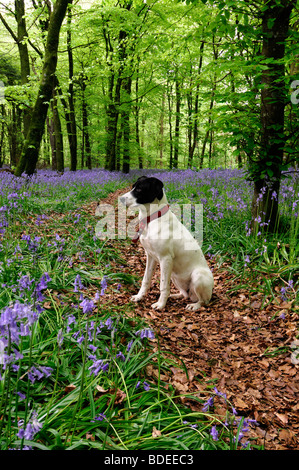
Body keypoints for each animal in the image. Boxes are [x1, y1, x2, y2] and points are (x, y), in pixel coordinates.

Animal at [120, 176, 214, 312]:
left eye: (139, 189)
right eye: (133, 186)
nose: (121, 199)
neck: (152, 219)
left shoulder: (165, 259)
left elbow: (163, 285)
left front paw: (160, 304)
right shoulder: (150, 256)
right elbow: (146, 280)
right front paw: (139, 296)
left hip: (198, 276)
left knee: (203, 301)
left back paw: (194, 305)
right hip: (174, 276)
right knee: (185, 294)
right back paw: (175, 296)